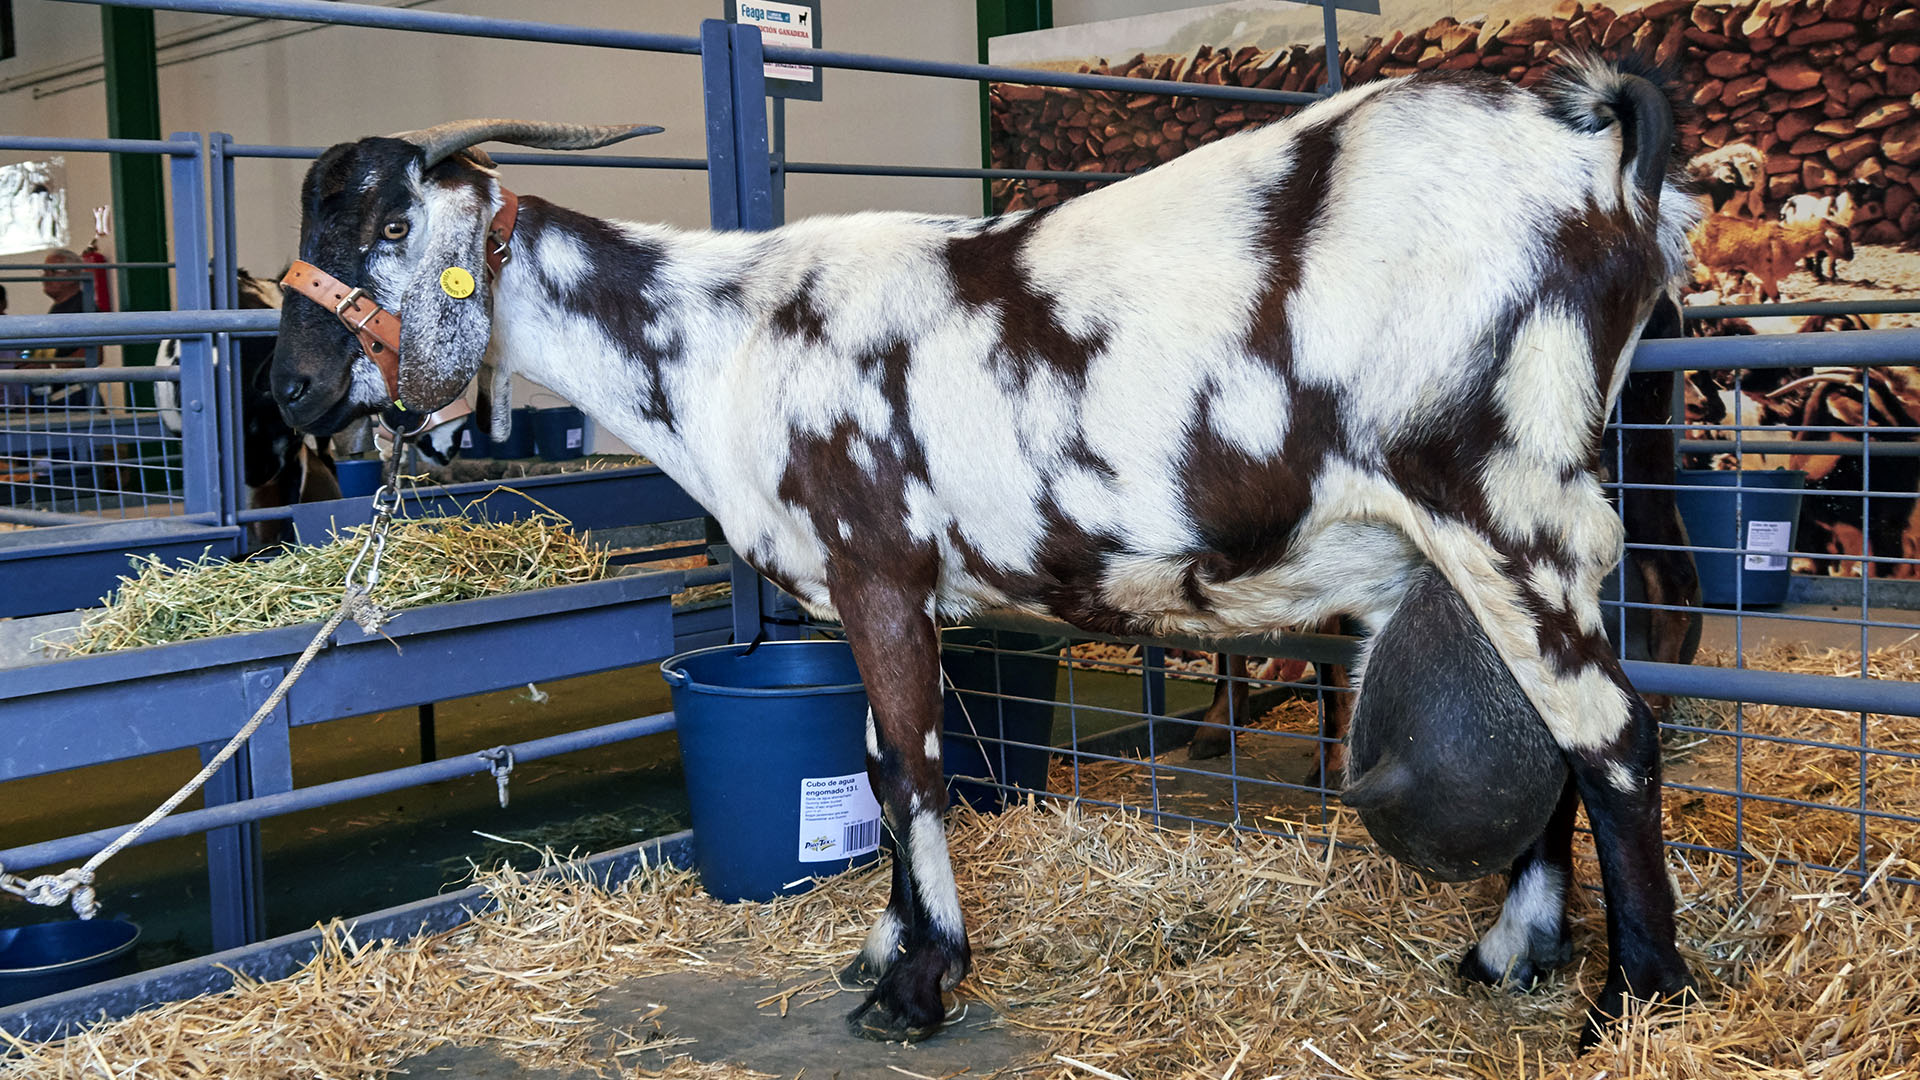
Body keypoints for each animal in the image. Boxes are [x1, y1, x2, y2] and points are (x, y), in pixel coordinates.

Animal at [266, 58, 1697, 1045]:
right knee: (1562, 732)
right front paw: (884, 947)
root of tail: (1603, 156)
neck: (724, 335)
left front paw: (916, 983)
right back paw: (1514, 954)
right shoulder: (869, 594)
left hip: (1505, 499)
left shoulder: (876, 565)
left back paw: (1638, 1000)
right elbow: (870, 762)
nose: (290, 392)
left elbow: (911, 770)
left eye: (389, 229)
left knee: (1611, 732)